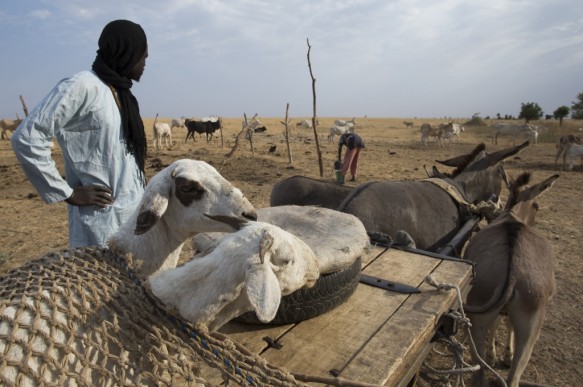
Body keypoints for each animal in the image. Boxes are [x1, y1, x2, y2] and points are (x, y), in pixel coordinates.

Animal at [464, 173, 560, 387]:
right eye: (537, 206)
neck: (513, 215)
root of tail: (513, 268)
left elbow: (499, 323)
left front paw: (494, 355)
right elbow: (506, 324)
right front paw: (504, 355)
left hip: (479, 313)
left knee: (480, 371)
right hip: (531, 326)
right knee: (513, 376)